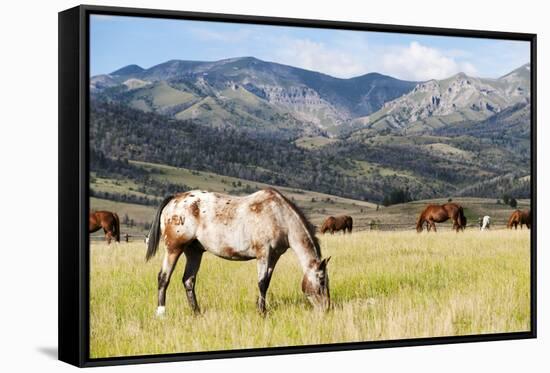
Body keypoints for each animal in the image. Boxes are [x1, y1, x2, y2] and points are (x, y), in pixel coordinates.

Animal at [144, 187, 332, 316]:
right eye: (322, 280)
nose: (327, 308)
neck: (279, 216)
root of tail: (174, 199)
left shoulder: (274, 256)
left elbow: (266, 283)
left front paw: (261, 308)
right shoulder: (263, 253)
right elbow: (261, 283)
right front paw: (262, 312)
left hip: (194, 252)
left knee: (188, 281)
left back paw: (196, 312)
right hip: (173, 249)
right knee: (163, 277)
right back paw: (161, 313)